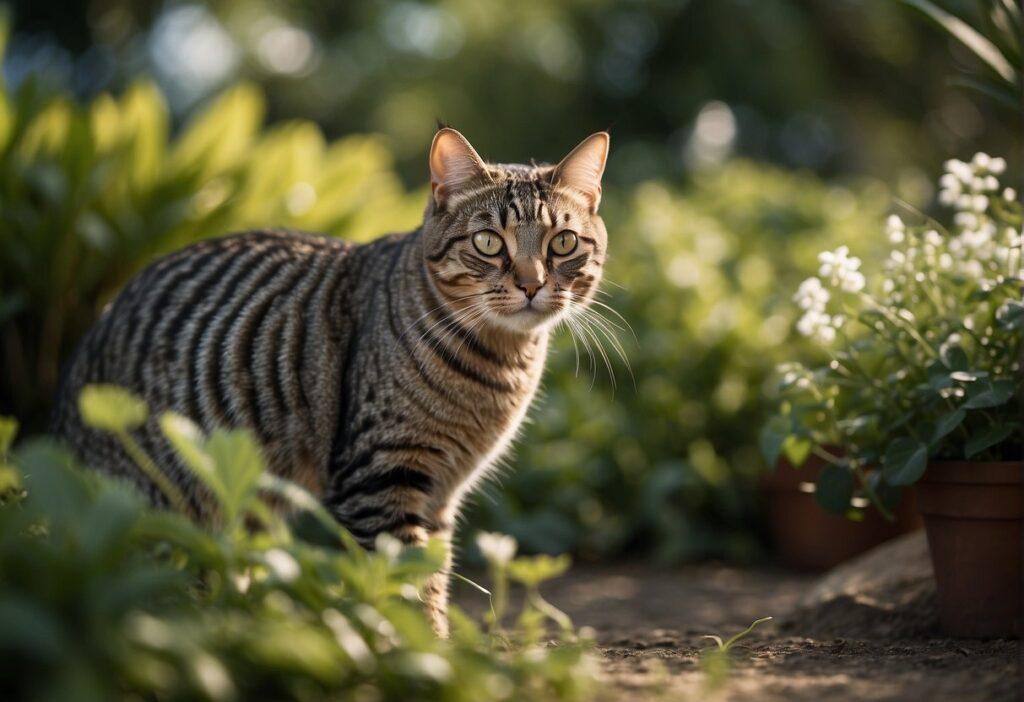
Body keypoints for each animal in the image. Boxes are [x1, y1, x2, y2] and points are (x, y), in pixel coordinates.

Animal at [54, 127, 606, 638]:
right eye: (489, 242)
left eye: (562, 243)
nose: (532, 284)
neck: (498, 366)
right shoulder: (379, 476)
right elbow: (401, 587)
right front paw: (415, 651)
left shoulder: (440, 494)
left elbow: (430, 576)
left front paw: (440, 648)